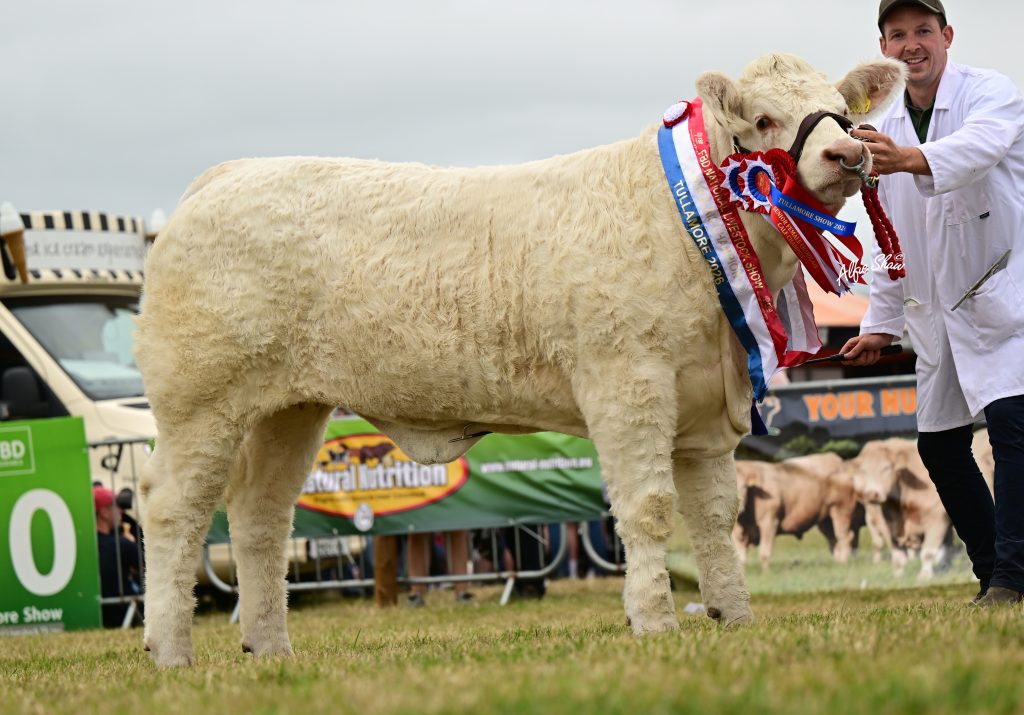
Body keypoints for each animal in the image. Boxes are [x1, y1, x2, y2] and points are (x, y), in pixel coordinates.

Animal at [135, 53, 904, 666]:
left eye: (842, 112)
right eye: (767, 119)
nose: (847, 156)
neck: (688, 223)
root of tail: (226, 175)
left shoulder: (707, 409)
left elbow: (716, 517)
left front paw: (735, 617)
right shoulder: (628, 387)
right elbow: (649, 510)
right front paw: (654, 620)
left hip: (288, 408)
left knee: (261, 518)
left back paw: (270, 648)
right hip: (200, 403)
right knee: (172, 512)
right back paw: (171, 651)